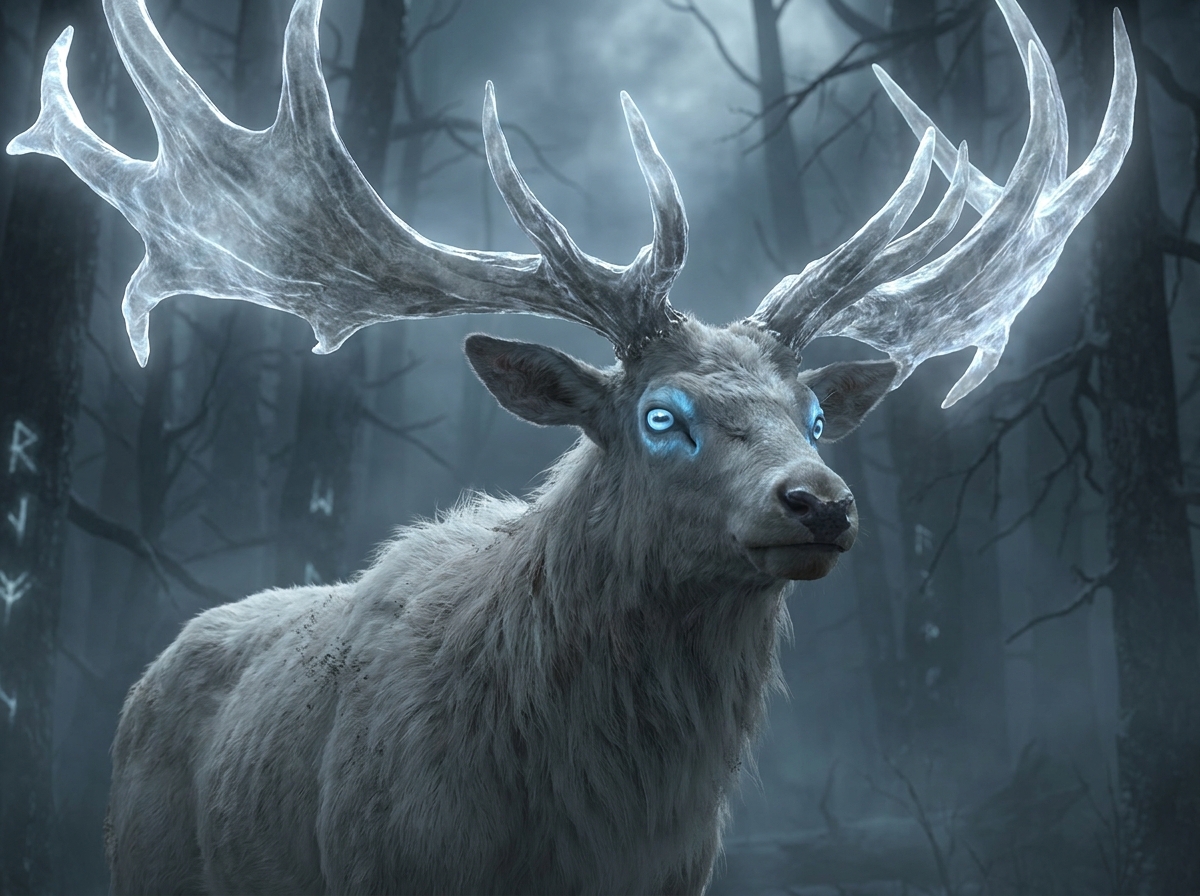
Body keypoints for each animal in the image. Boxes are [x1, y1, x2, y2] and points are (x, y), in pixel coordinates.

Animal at [8, 0, 1134, 892]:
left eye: (814, 414)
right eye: (661, 415)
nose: (819, 500)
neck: (581, 822)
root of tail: (148, 678)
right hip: (144, 861)